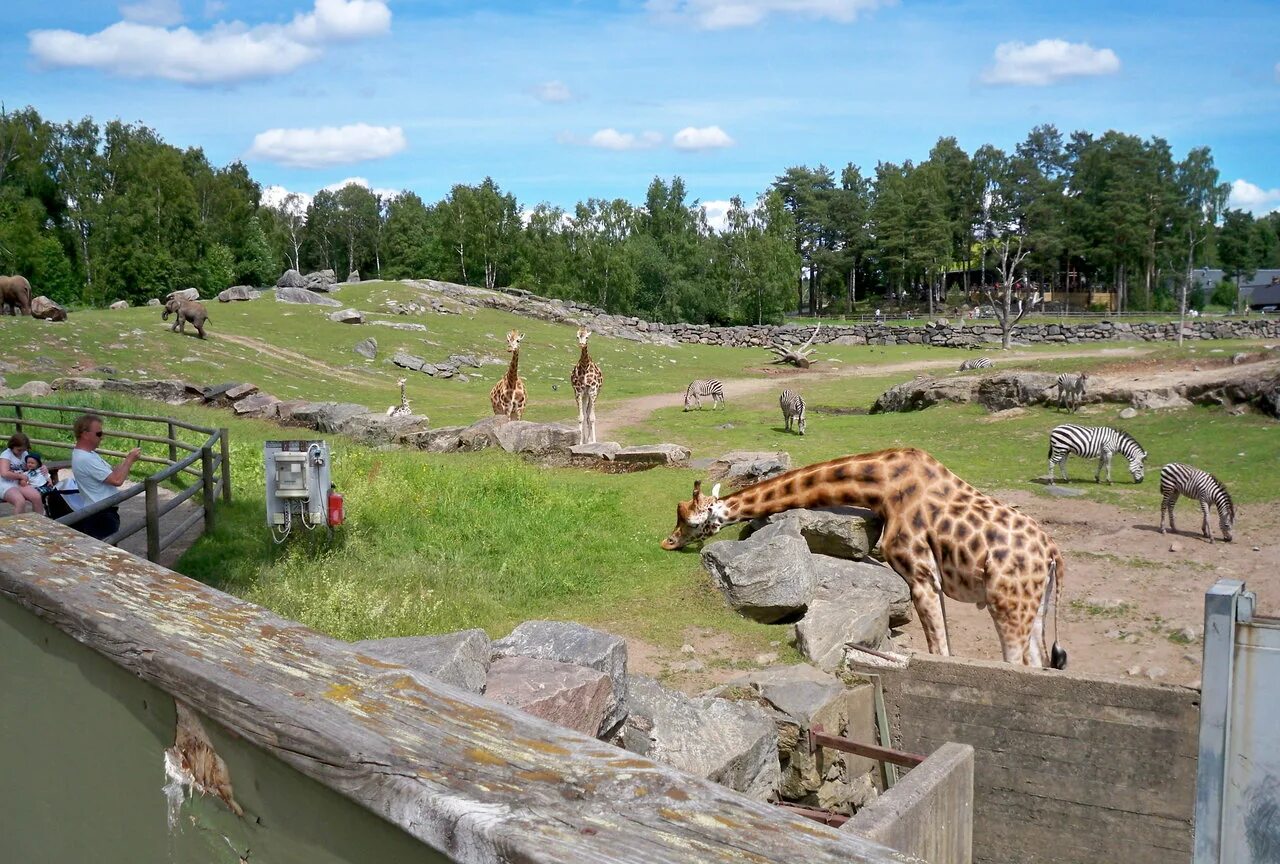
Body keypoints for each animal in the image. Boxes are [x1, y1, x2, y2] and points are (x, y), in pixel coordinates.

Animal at [660, 450, 1070, 670]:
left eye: (691, 522)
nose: (666, 543)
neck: (882, 484)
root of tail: (1053, 553)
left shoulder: (920, 572)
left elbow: (939, 649)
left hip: (1007, 602)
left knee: (1015, 661)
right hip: (1033, 607)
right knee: (1038, 661)